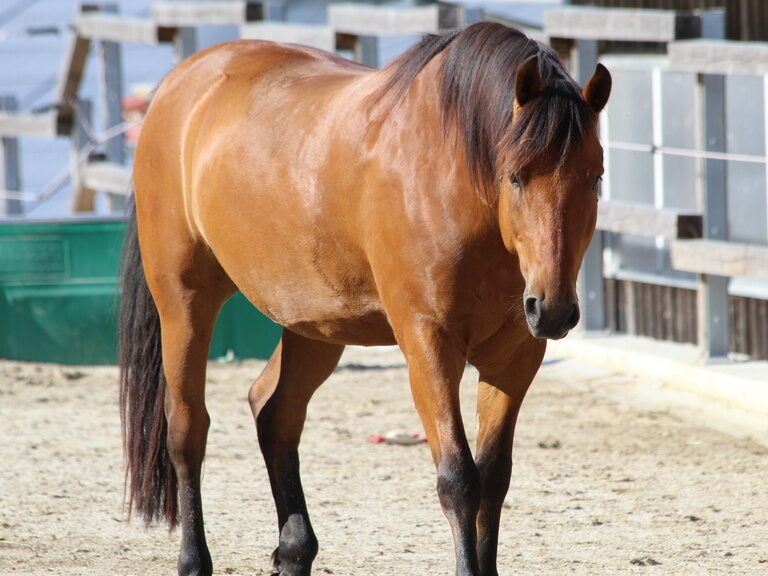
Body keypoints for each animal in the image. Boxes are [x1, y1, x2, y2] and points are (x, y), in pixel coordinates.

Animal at [119, 21, 611, 576]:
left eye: (596, 177)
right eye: (515, 176)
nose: (553, 308)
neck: (452, 176)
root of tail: (180, 84)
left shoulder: (516, 355)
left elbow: (494, 479)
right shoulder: (428, 344)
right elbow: (459, 480)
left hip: (313, 325)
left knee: (275, 412)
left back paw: (295, 548)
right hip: (184, 303)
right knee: (187, 430)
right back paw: (194, 558)